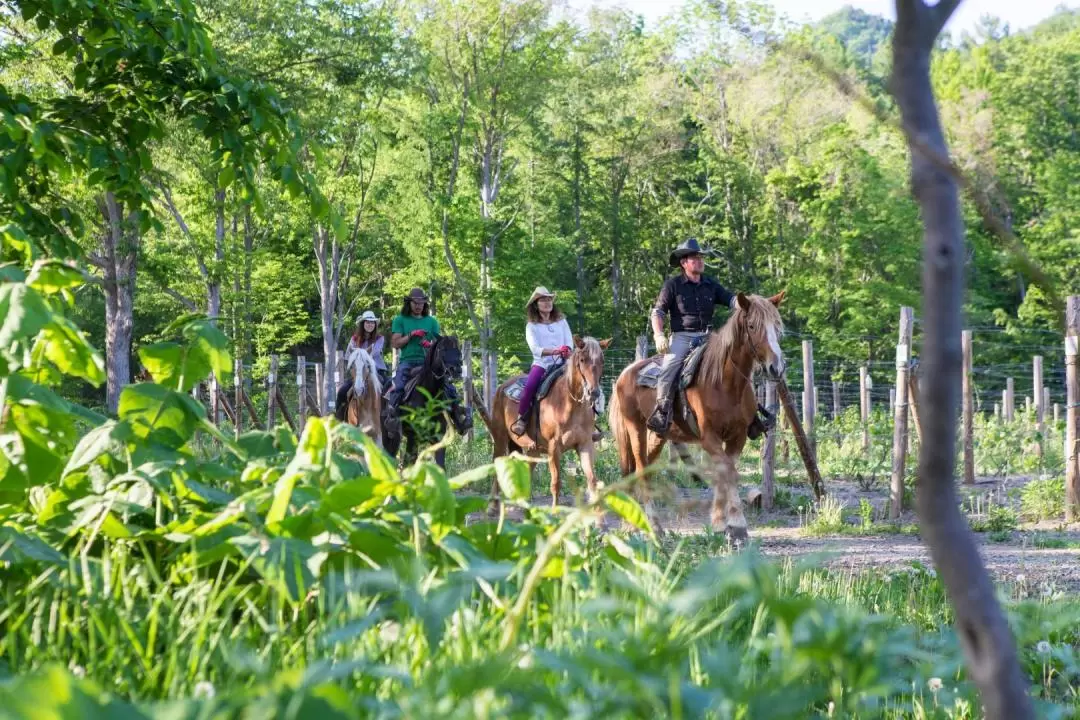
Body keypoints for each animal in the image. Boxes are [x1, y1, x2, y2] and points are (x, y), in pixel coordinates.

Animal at [479, 334, 609, 509]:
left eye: (602, 360)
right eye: (582, 359)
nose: (593, 392)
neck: (570, 404)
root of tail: (502, 387)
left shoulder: (585, 444)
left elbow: (592, 481)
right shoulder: (554, 447)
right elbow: (556, 482)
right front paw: (555, 512)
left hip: (532, 448)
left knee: (527, 470)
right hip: (500, 439)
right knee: (496, 464)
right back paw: (493, 506)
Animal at [609, 289, 786, 544]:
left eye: (777, 326)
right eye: (752, 326)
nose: (776, 367)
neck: (724, 383)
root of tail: (625, 373)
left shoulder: (737, 437)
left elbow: (725, 472)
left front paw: (721, 524)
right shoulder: (709, 438)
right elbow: (727, 472)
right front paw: (737, 525)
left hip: (658, 435)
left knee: (643, 470)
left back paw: (632, 523)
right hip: (635, 430)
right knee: (641, 470)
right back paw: (654, 526)